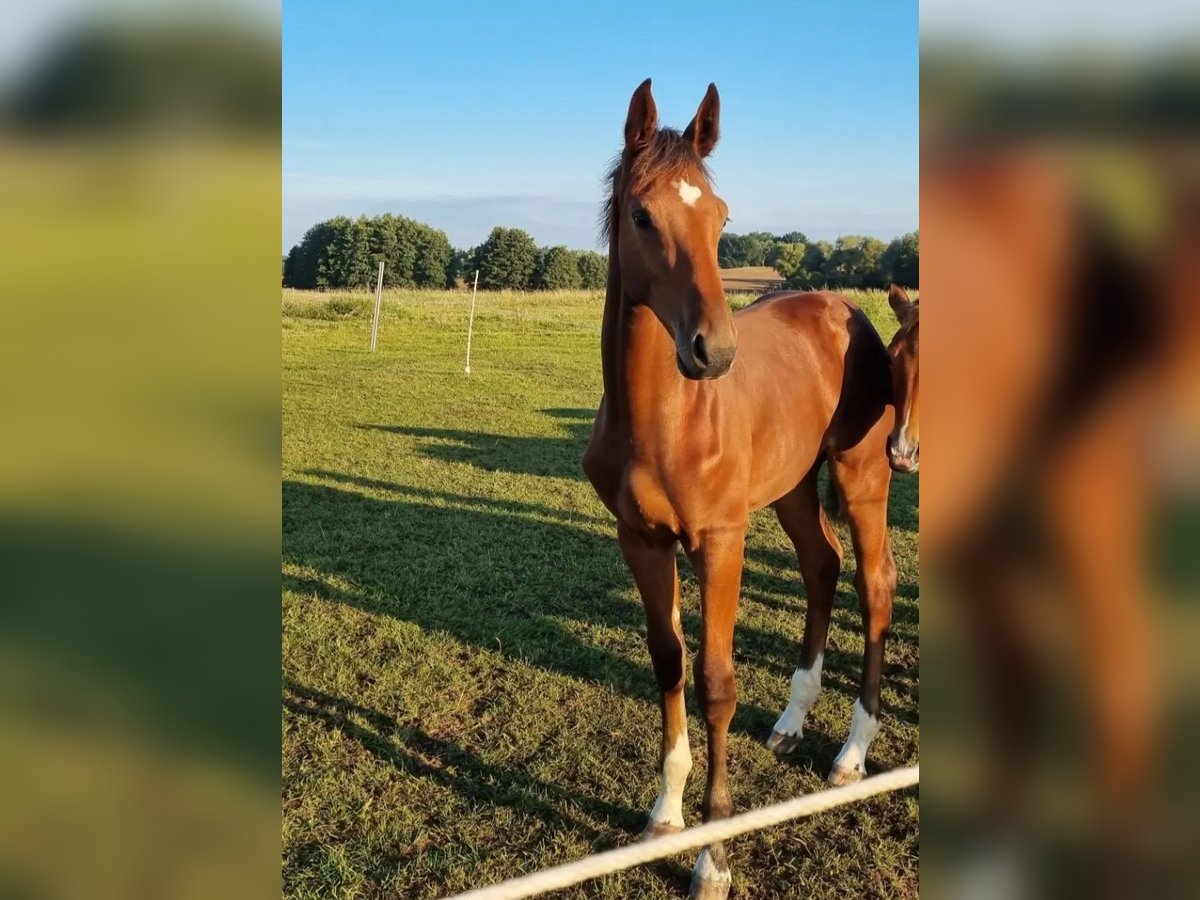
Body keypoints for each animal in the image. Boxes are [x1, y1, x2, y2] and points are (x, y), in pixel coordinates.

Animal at [580, 81, 902, 897]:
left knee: (875, 584)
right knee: (822, 566)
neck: (664, 421)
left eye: (721, 218)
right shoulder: (642, 541)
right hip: (790, 490)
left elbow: (717, 683)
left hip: (861, 478)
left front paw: (713, 855)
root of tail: (845, 308)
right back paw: (792, 721)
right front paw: (665, 816)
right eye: (642, 214)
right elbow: (669, 663)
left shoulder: (720, 542)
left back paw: (852, 754)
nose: (714, 352)